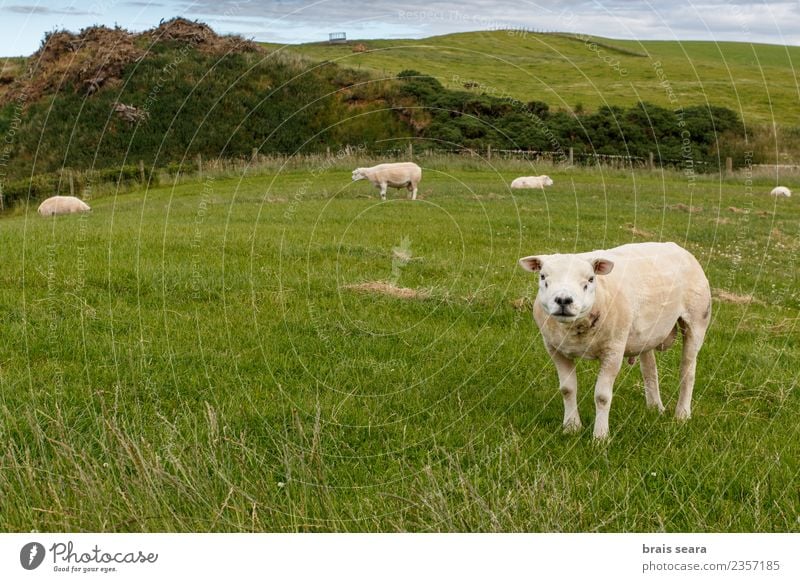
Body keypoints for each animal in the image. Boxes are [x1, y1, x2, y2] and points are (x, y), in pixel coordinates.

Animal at [520, 244, 712, 440]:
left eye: (590, 279)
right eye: (543, 277)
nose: (563, 300)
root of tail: (676, 246)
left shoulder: (614, 350)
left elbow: (602, 396)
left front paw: (600, 436)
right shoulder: (555, 349)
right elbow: (567, 389)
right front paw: (572, 427)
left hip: (697, 319)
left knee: (687, 371)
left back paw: (682, 414)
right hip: (646, 334)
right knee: (649, 369)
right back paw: (655, 407)